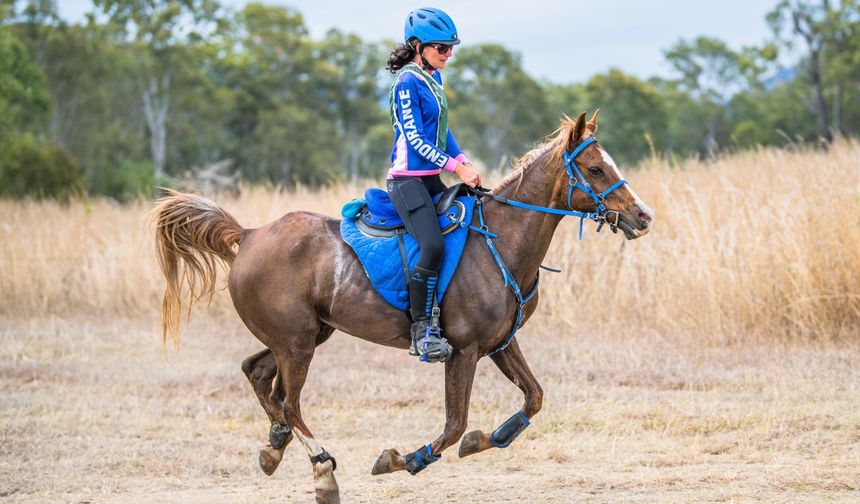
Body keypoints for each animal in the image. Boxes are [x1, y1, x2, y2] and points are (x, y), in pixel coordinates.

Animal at [151, 112, 656, 502]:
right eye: (594, 168)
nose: (643, 216)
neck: (501, 240)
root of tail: (250, 234)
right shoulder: (464, 351)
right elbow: (454, 425)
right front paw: (403, 460)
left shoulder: (499, 344)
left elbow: (533, 398)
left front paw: (487, 438)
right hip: (296, 345)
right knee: (288, 402)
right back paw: (322, 471)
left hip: (304, 335)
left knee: (257, 375)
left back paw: (274, 447)